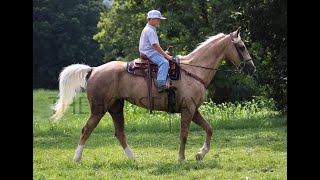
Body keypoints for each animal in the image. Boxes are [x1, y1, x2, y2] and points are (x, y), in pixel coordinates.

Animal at [52, 27, 255, 163]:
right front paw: (182, 158)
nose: (252, 68)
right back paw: (77, 159)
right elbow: (184, 135)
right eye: (242, 47)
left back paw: (133, 159)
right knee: (87, 130)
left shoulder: (193, 110)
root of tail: (93, 70)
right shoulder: (187, 110)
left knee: (119, 133)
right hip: (99, 109)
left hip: (116, 108)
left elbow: (209, 129)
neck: (193, 70)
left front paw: (199, 154)